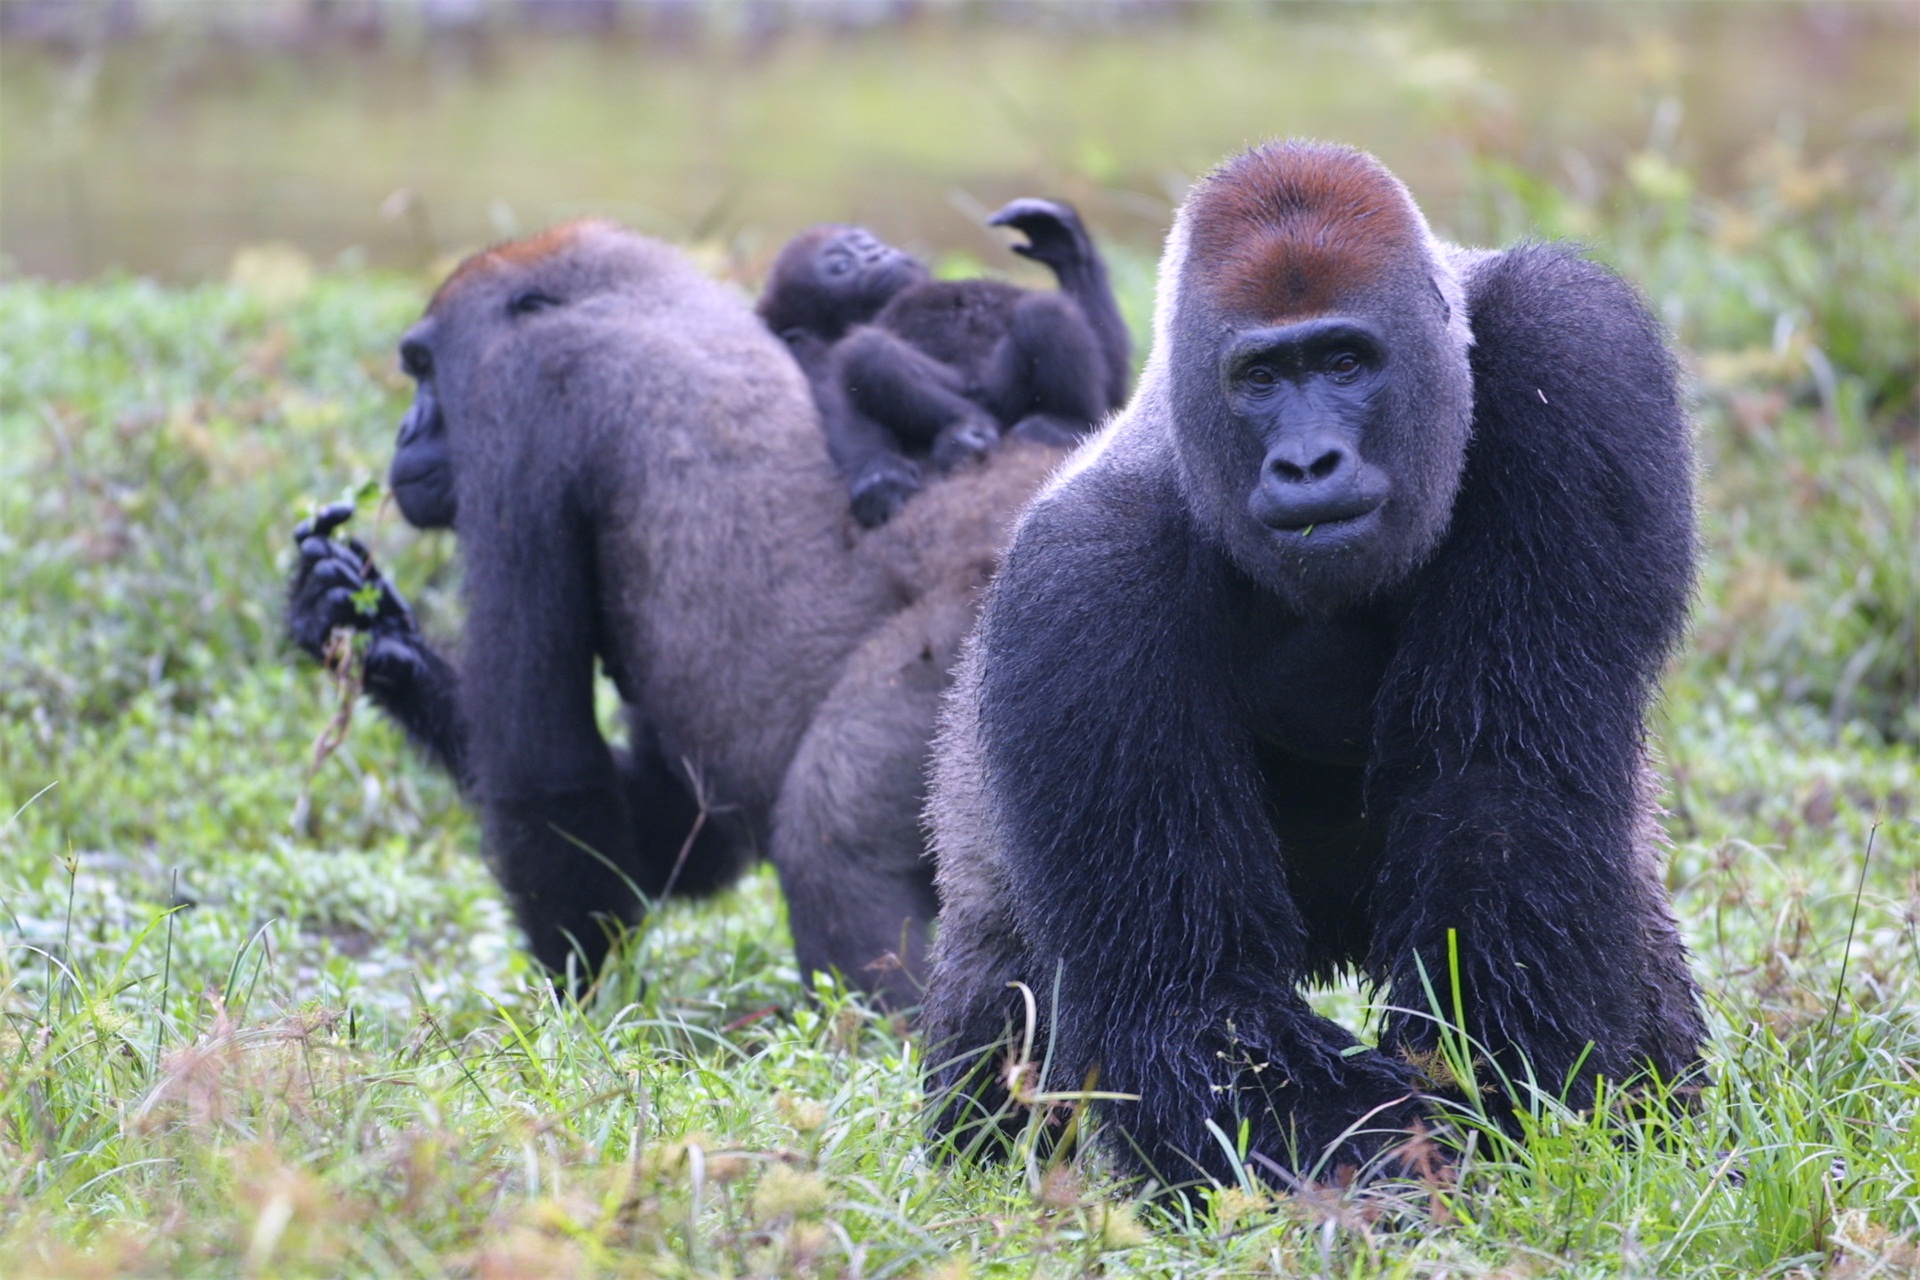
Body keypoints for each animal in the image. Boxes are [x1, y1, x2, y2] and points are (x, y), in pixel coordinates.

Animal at [286, 222, 1067, 1013]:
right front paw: (376, 638)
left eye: (424, 370)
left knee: (831, 837)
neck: (630, 297)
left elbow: (543, 770)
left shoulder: (520, 393)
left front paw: (584, 1005)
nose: (405, 431)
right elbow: (676, 826)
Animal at [756, 197, 1128, 529]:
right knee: (871, 352)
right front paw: (878, 473)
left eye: (867, 244)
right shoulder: (810, 347)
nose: (877, 253)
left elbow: (1112, 385)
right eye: (841, 266)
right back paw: (969, 429)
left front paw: (1065, 244)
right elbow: (837, 396)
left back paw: (1064, 420)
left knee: (1045, 312)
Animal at [921, 144, 1704, 1189]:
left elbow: (1503, 810)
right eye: (1260, 378)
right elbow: (1192, 991)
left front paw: (1501, 1105)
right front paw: (1407, 1170)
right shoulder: (1080, 582)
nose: (1307, 463)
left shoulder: (1576, 359)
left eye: (1344, 362)